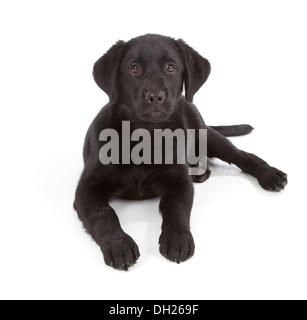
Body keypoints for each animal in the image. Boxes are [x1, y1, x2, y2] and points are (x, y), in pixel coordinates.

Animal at [75, 34, 288, 270]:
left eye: (170, 67)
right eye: (134, 68)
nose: (155, 96)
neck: (146, 135)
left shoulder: (179, 182)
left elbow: (177, 210)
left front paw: (177, 238)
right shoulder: (86, 189)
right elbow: (104, 213)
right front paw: (118, 243)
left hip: (206, 134)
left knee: (241, 155)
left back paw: (269, 174)